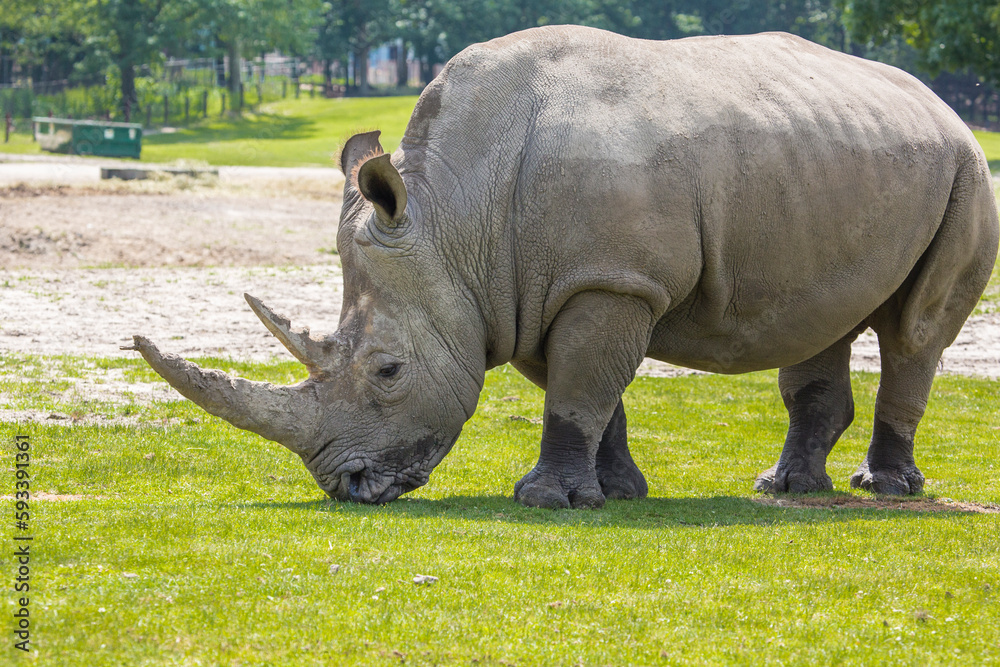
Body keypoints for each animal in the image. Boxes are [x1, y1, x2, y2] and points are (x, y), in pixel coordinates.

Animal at [126, 26, 999, 509]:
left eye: (388, 371)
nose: (349, 485)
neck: (456, 215)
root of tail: (941, 104)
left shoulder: (607, 278)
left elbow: (581, 389)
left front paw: (548, 501)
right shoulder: (531, 290)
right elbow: (589, 392)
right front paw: (617, 493)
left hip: (966, 170)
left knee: (915, 332)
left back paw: (885, 489)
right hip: (836, 156)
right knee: (821, 321)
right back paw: (784, 488)